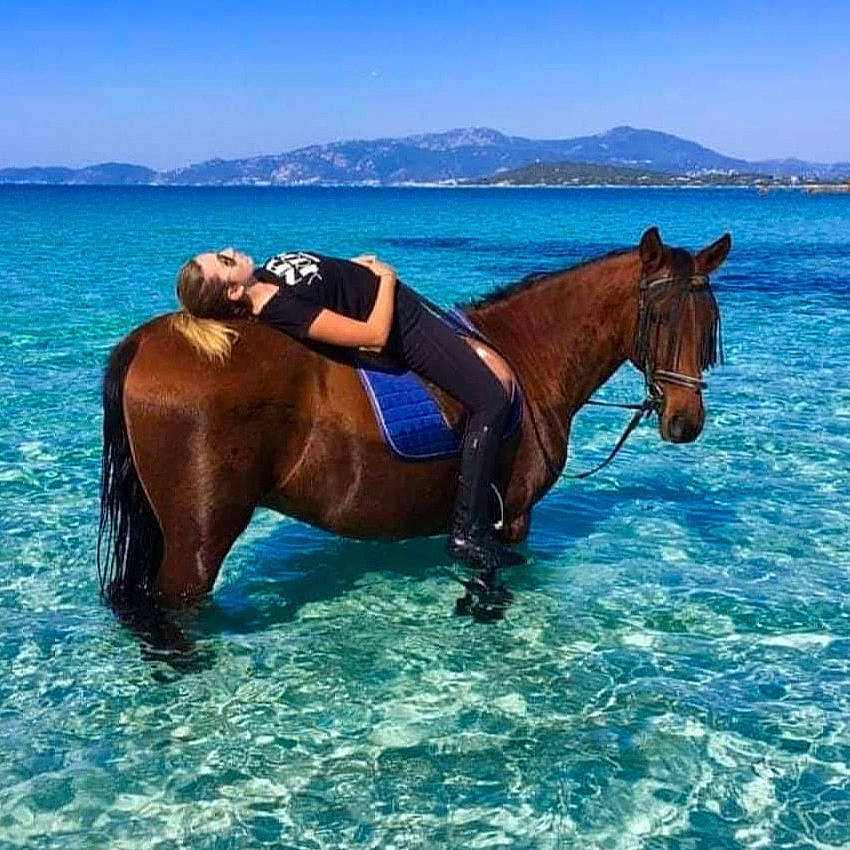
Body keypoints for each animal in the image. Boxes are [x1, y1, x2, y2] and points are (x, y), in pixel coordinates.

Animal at [98, 226, 730, 621]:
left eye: (709, 322)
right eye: (659, 317)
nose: (686, 420)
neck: (525, 356)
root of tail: (144, 340)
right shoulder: (513, 516)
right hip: (198, 540)